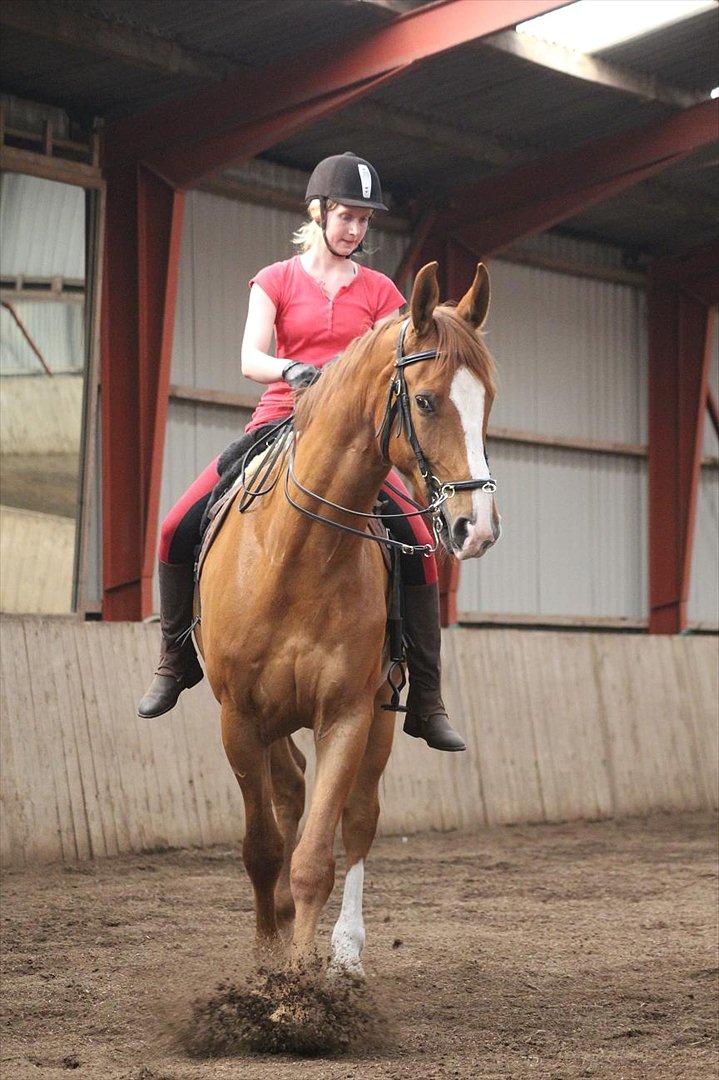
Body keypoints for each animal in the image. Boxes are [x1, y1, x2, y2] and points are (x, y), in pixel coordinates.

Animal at [196, 265, 498, 976]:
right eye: (426, 402)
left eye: (488, 402)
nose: (476, 529)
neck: (297, 553)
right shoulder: (239, 718)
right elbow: (263, 846)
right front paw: (268, 959)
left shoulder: (348, 714)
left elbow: (314, 856)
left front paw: (302, 982)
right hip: (271, 721)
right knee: (288, 797)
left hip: (382, 716)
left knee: (358, 817)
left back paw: (346, 952)